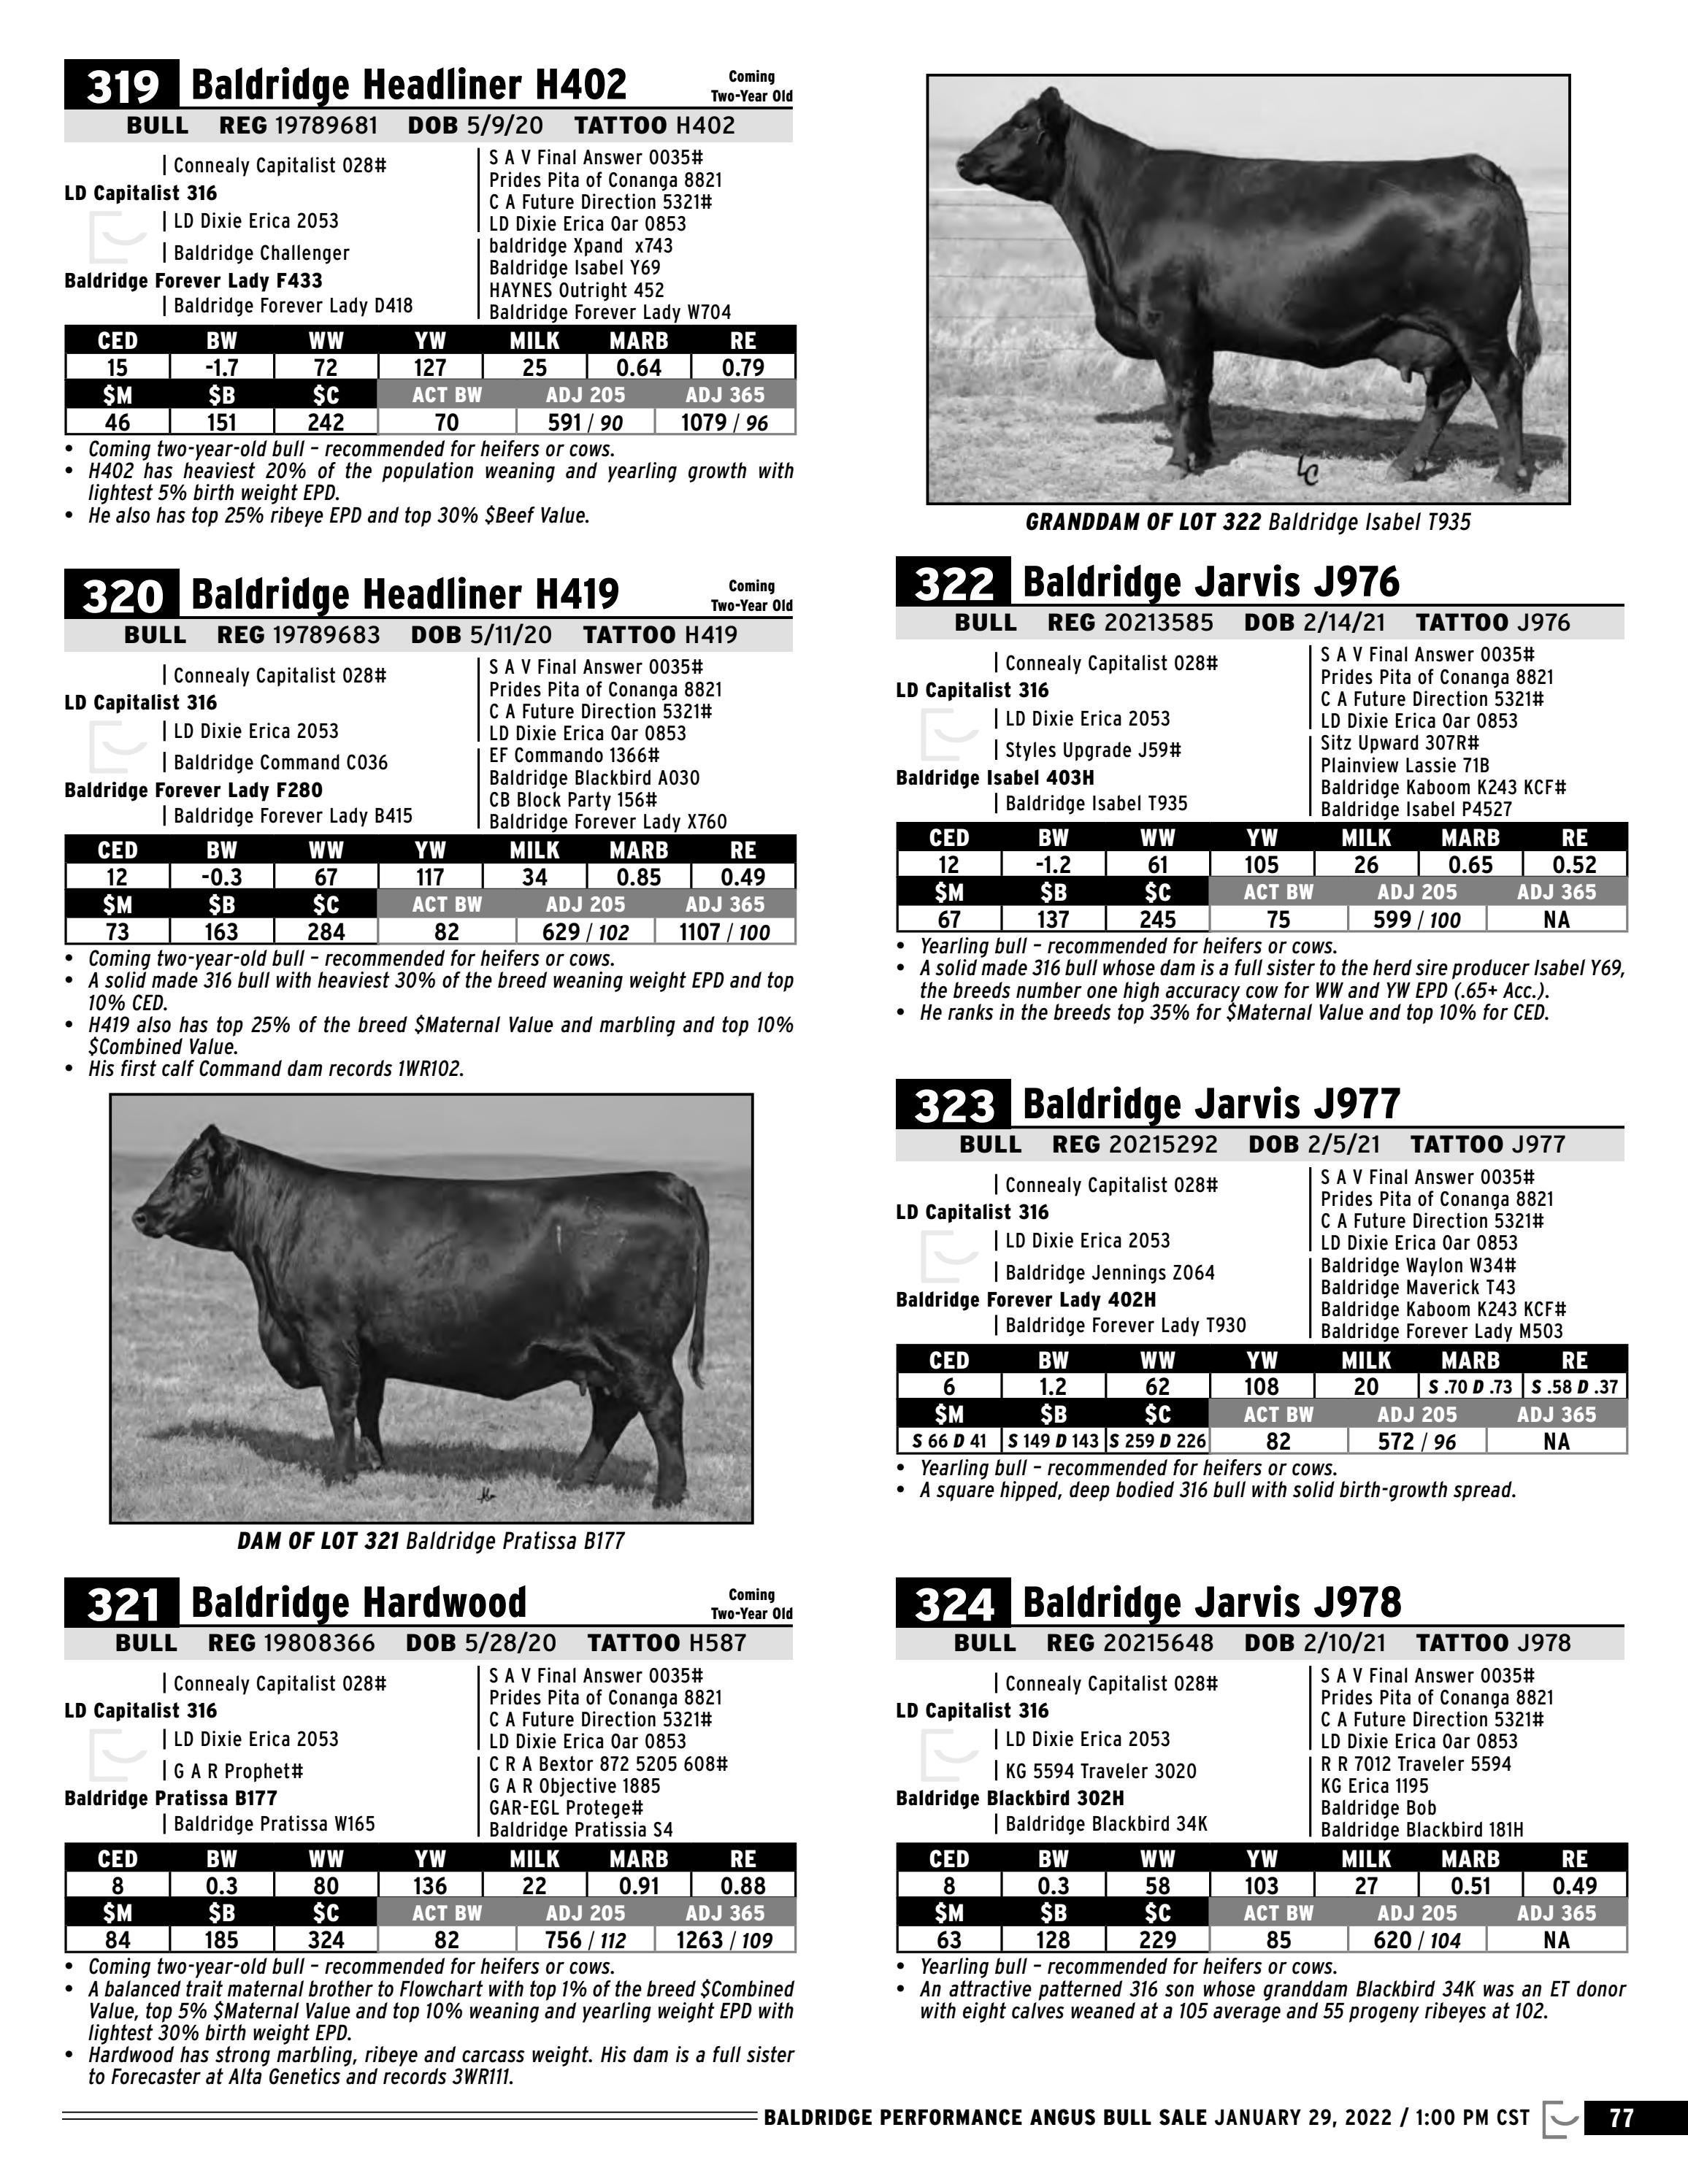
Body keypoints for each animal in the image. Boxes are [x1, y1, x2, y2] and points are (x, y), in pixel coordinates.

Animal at [132, 1126, 710, 1507]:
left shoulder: (327, 1332)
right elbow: (369, 1407)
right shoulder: (369, 1348)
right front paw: (373, 1465)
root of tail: (664, 1181)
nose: (141, 1214)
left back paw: (668, 1496)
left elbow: (340, 1405)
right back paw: (574, 1481)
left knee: (661, 1408)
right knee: (613, 1412)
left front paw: (339, 1475)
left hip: (637, 1349)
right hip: (605, 1355)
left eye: (190, 1171)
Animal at [956, 88, 1541, 488]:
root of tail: (1473, 164)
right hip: (1446, 332)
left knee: (1501, 383)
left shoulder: (1167, 319)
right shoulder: (1200, 329)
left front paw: (1175, 465)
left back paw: (1508, 478)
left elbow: (1179, 391)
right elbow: (1202, 390)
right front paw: (1203, 454)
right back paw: (1402, 466)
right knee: (1447, 392)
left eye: (1022, 125)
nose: (963, 159)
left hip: (1477, 326)